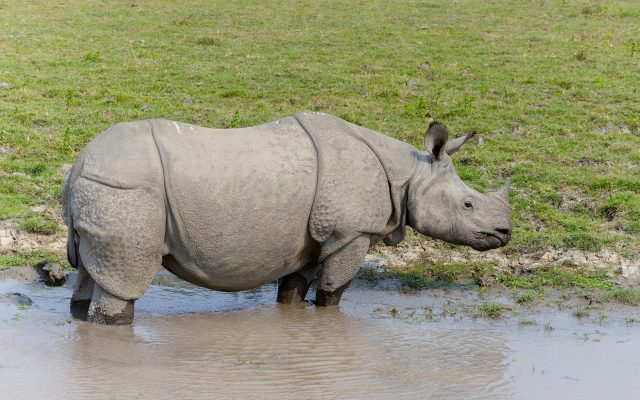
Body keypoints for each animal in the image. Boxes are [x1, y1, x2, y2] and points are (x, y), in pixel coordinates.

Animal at [62, 111, 512, 325]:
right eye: (468, 205)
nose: (505, 232)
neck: (410, 172)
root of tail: (78, 165)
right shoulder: (351, 232)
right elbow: (333, 293)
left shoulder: (313, 237)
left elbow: (294, 291)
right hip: (126, 191)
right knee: (124, 282)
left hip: (103, 189)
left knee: (89, 271)